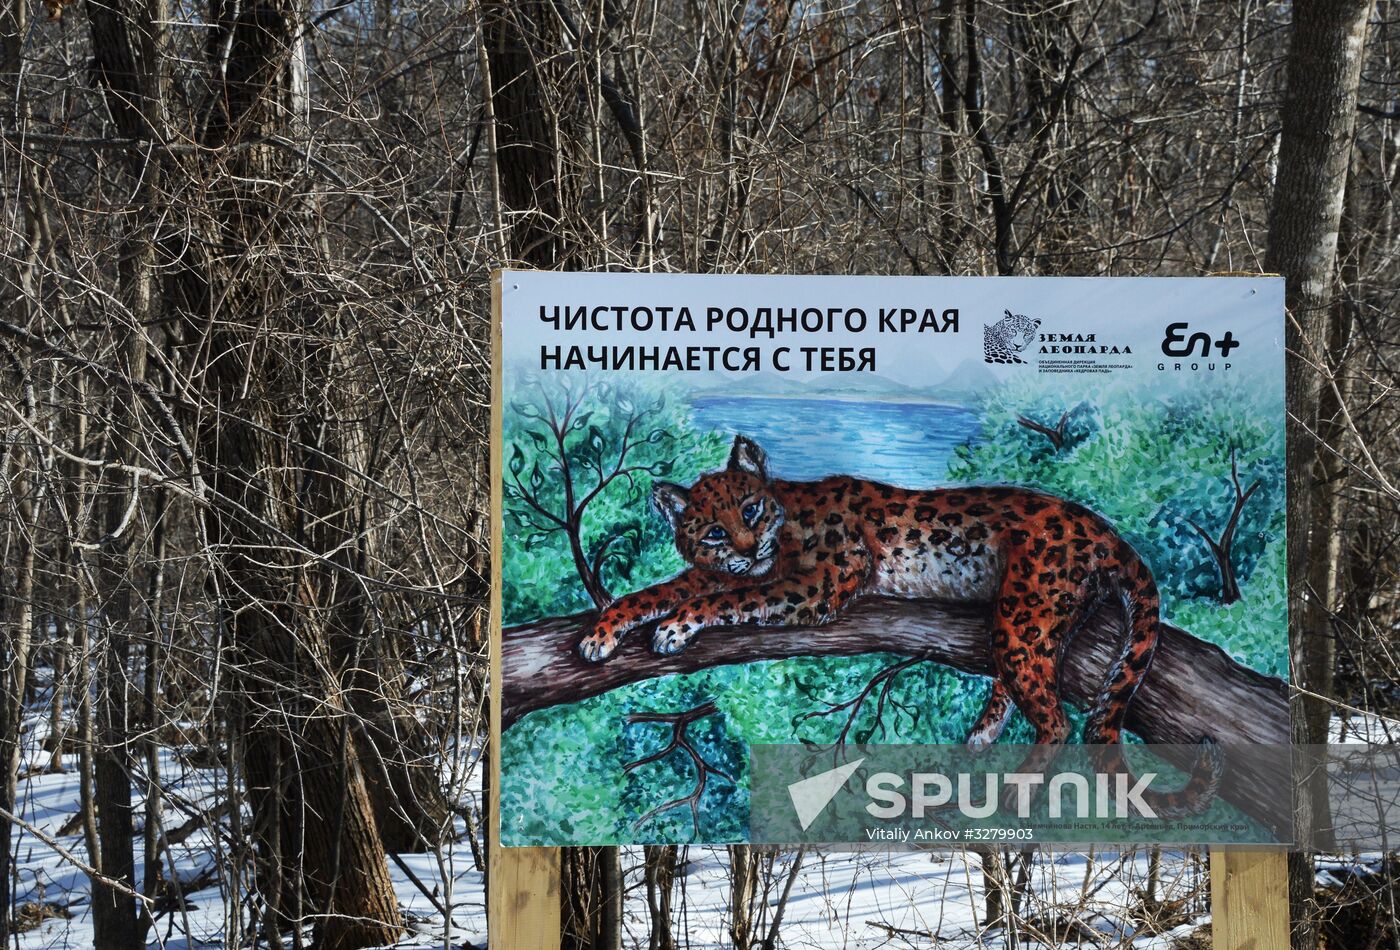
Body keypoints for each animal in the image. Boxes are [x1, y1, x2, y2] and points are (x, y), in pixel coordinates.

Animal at [577, 434, 1223, 817]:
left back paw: (1007, 791)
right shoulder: (722, 573)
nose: (746, 544)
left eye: (751, 509)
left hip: (1022, 617)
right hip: (1027, 622)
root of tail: (1103, 529)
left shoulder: (823, 580)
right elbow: (657, 591)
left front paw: (675, 628)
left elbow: (728, 598)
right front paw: (602, 633)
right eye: (713, 531)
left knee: (1057, 721)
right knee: (1029, 692)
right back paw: (980, 736)